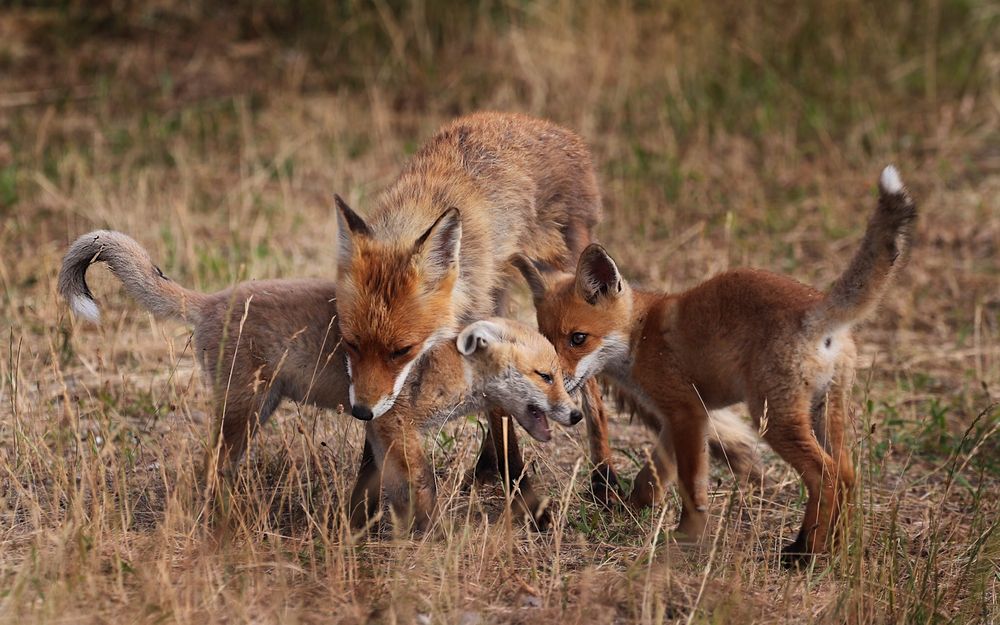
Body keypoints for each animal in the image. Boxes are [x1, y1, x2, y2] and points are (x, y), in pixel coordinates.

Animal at [516, 166, 916, 560]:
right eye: (545, 341)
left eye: (578, 339)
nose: (549, 382)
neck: (639, 334)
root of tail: (818, 309)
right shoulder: (679, 416)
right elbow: (652, 476)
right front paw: (630, 510)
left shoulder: (689, 412)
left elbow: (691, 485)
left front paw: (687, 535)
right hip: (825, 413)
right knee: (847, 474)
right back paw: (833, 549)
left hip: (775, 419)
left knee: (826, 475)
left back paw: (808, 554)